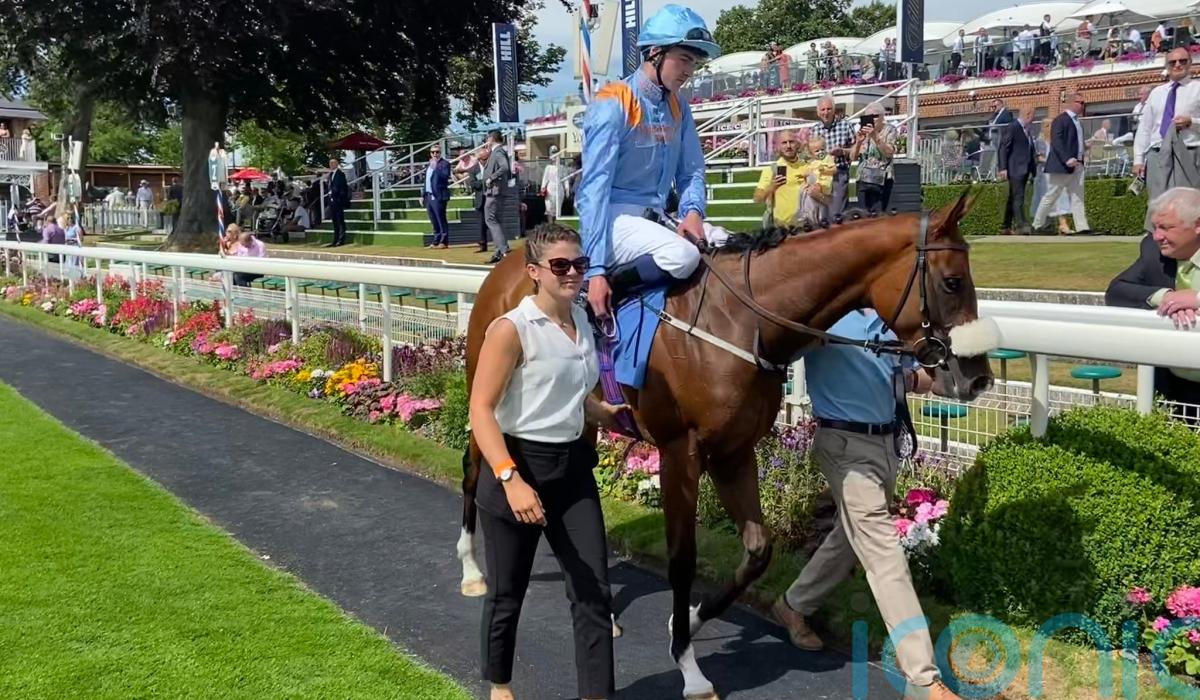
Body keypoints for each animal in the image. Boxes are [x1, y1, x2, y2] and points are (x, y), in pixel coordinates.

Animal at [455, 190, 995, 699]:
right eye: (953, 282)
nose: (978, 377)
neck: (743, 322)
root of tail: (509, 262)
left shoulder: (736, 452)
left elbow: (758, 550)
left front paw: (689, 620)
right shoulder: (681, 453)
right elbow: (682, 558)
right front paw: (688, 666)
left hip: (580, 418)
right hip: (489, 390)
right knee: (474, 468)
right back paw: (471, 569)